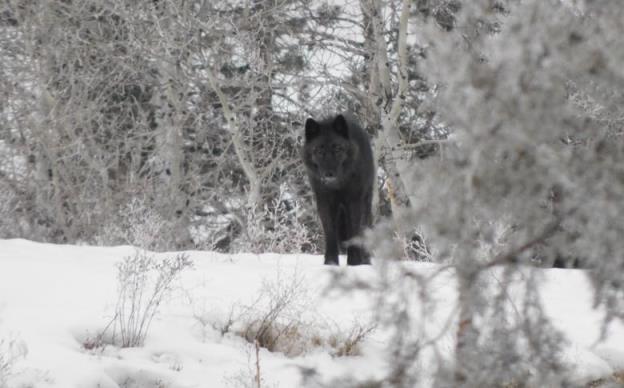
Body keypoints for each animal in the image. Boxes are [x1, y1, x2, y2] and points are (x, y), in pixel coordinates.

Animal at [304, 113, 376, 266]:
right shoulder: (324, 202)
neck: (337, 185)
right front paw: (330, 263)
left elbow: (354, 231)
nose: (329, 174)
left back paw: (365, 260)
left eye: (337, 149)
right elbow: (330, 233)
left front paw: (354, 263)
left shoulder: (354, 201)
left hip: (365, 202)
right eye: (319, 151)